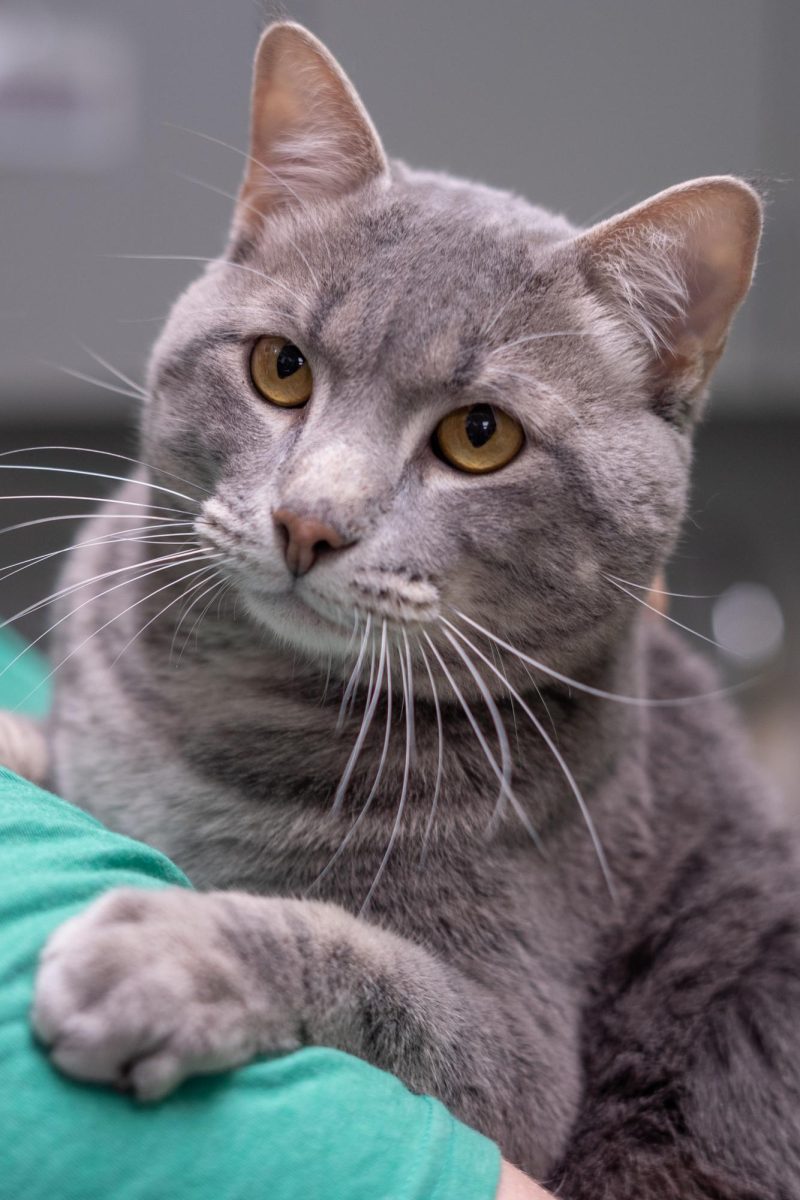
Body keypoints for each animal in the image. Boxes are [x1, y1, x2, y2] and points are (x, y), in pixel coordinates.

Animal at [17, 21, 800, 1200]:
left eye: (480, 436)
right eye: (280, 368)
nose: (309, 521)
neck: (222, 709)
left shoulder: (518, 1045)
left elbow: (358, 962)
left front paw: (164, 953)